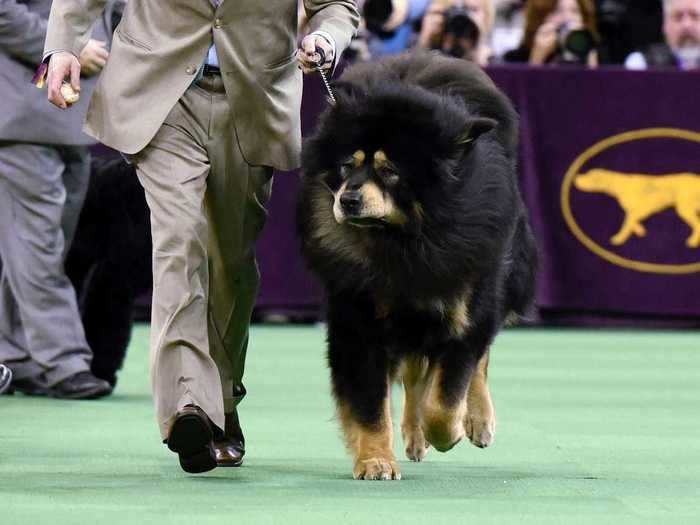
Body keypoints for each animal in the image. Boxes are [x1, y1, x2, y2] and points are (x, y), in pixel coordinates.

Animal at [298, 53, 540, 478]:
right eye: (347, 166)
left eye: (390, 170)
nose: (348, 200)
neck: (405, 240)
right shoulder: (358, 321)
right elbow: (370, 403)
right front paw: (376, 458)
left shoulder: (463, 314)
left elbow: (446, 394)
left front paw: (448, 431)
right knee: (414, 376)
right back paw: (413, 435)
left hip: (503, 284)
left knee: (477, 361)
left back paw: (478, 420)